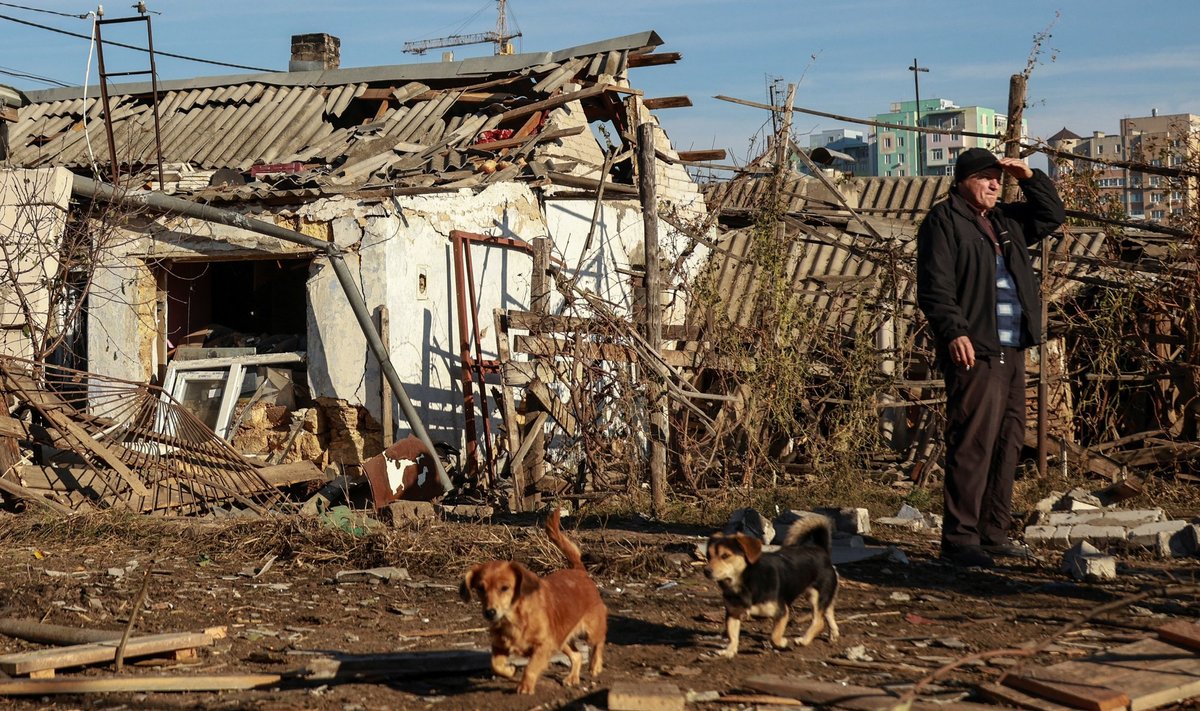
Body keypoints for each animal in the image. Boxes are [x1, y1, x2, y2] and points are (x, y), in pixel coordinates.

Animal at [458, 511, 609, 696]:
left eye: (505, 588)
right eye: (480, 588)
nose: (490, 612)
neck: (514, 619)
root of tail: (579, 571)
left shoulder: (543, 646)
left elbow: (531, 667)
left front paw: (525, 686)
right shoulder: (500, 646)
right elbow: (496, 665)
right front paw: (510, 671)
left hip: (590, 631)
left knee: (599, 642)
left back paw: (595, 666)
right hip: (562, 639)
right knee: (577, 655)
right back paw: (572, 677)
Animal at [700, 514, 835, 658]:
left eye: (725, 555)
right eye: (709, 556)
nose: (706, 571)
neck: (745, 583)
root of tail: (821, 549)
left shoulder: (782, 612)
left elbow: (774, 636)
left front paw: (782, 643)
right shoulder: (733, 613)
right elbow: (733, 635)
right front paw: (729, 651)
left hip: (816, 595)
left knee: (819, 621)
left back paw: (803, 640)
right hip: (822, 595)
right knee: (828, 612)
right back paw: (834, 634)